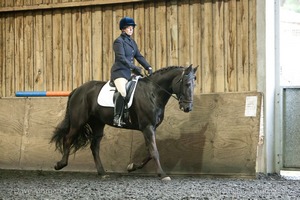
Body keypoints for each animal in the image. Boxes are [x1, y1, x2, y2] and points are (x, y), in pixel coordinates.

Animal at [50, 65, 198, 180]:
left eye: (194, 85)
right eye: (187, 84)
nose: (188, 108)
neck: (153, 92)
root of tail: (77, 90)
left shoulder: (151, 128)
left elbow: (149, 151)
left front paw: (132, 167)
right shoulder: (148, 127)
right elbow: (154, 151)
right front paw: (162, 174)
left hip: (97, 124)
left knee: (94, 147)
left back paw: (102, 172)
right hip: (78, 122)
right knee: (68, 139)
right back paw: (60, 164)